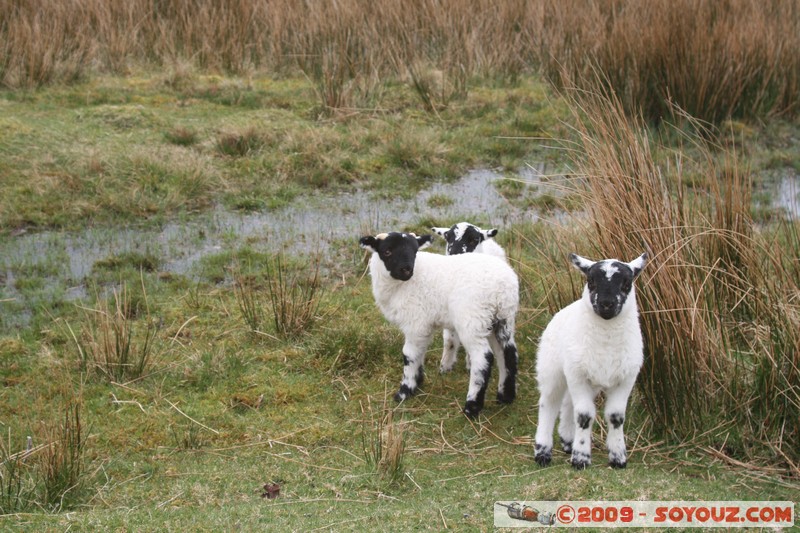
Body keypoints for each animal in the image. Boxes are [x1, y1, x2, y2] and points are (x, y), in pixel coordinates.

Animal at [536, 251, 648, 468]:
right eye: (591, 281)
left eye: (626, 283)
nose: (606, 303)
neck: (606, 342)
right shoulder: (578, 376)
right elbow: (585, 416)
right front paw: (580, 458)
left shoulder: (626, 379)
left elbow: (616, 417)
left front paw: (618, 457)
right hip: (552, 369)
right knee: (549, 404)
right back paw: (543, 452)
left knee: (568, 404)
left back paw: (567, 441)